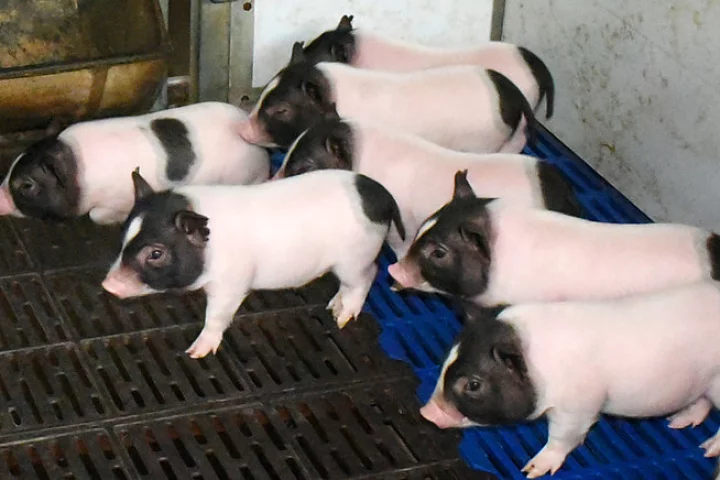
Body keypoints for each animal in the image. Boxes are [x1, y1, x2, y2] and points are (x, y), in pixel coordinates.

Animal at [101, 168, 405, 358]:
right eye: (124, 237)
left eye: (155, 254)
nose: (107, 285)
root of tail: (382, 195)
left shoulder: (232, 285)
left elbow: (217, 316)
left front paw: (195, 353)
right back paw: (333, 307)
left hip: (355, 258)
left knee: (369, 275)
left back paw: (342, 319)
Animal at [420, 283, 720, 478]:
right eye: (446, 360)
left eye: (473, 384)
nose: (425, 413)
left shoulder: (579, 407)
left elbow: (564, 437)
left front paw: (531, 470)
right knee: (701, 404)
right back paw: (677, 424)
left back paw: (706, 450)